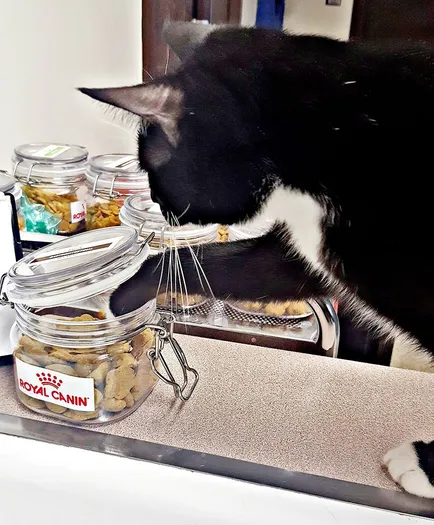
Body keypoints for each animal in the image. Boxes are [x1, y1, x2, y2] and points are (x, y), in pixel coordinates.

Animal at [80, 24, 434, 498]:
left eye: (151, 170)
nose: (157, 203)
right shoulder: (307, 253)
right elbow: (224, 265)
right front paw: (123, 299)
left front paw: (425, 466)